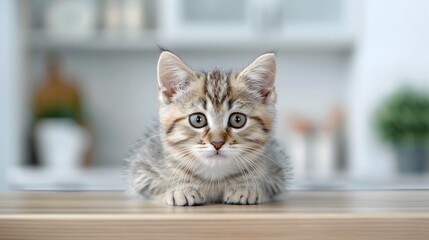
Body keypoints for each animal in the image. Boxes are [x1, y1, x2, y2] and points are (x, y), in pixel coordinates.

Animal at [125, 51, 290, 206]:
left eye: (238, 120)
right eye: (197, 120)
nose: (217, 143)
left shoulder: (277, 169)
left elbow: (268, 185)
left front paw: (246, 187)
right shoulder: (141, 169)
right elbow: (153, 187)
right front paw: (181, 188)